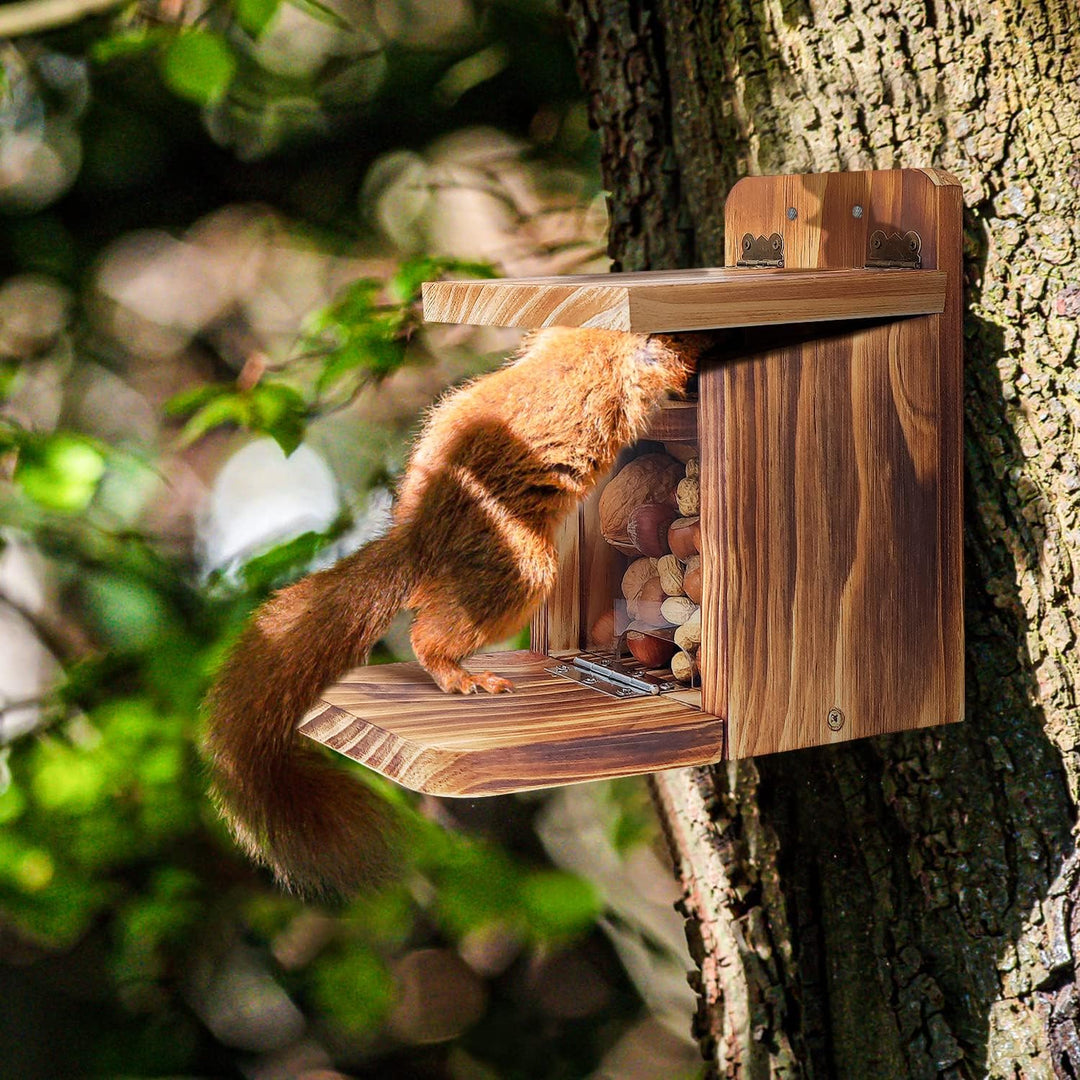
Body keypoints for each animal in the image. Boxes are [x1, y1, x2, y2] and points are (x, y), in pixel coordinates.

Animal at [202, 327, 707, 898]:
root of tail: (422, 536)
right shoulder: (639, 362)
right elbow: (668, 363)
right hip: (520, 566)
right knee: (431, 633)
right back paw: (461, 675)